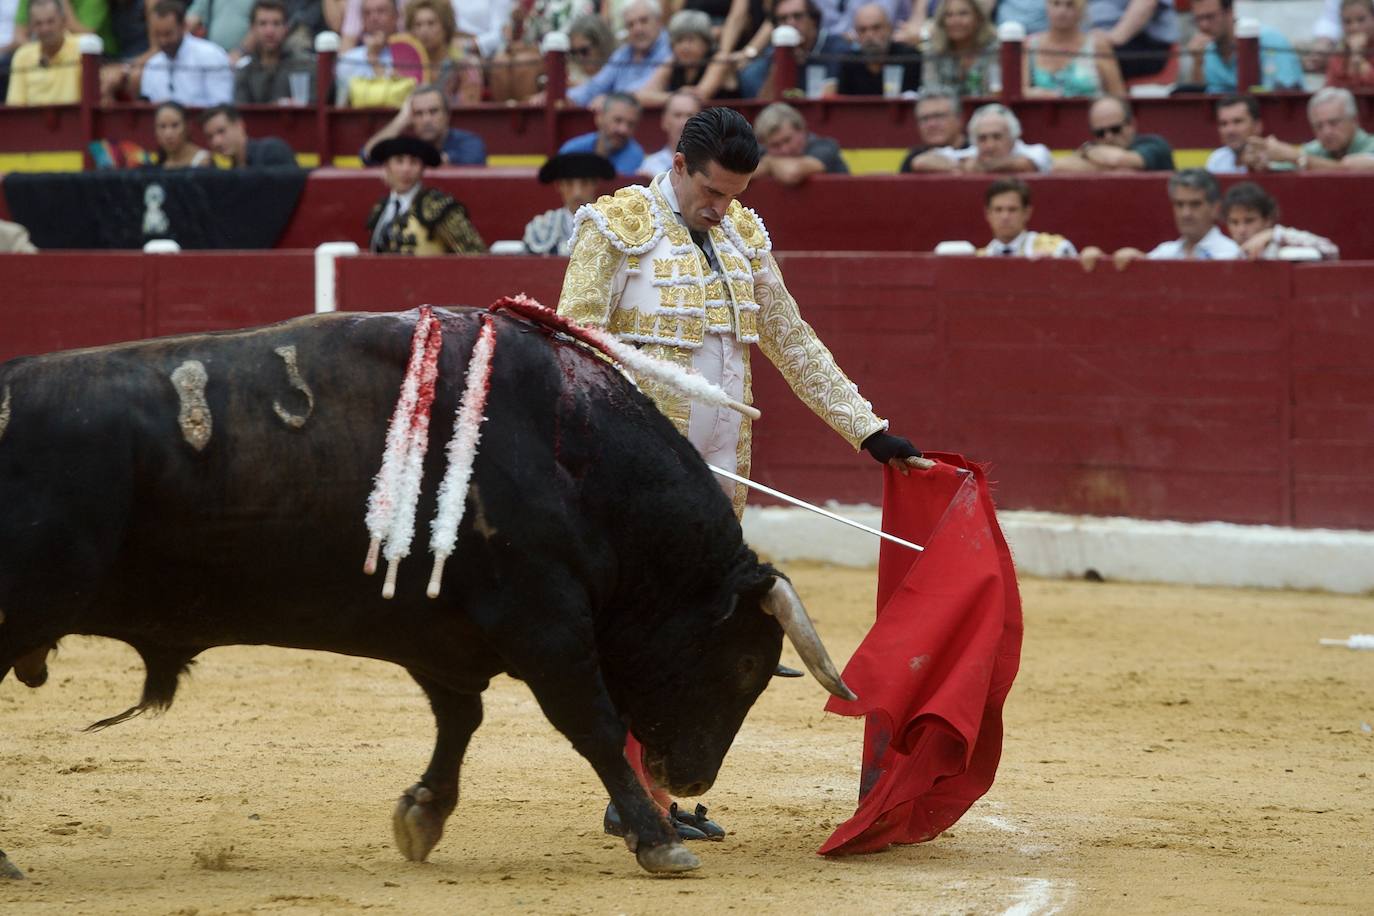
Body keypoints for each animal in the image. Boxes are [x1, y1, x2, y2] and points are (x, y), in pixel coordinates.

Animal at [0, 306, 851, 873]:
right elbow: (594, 726)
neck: (574, 461)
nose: (693, 780)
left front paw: (422, 816)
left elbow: (460, 720)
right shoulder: (547, 627)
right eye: (744, 665)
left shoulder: (446, 635)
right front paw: (659, 840)